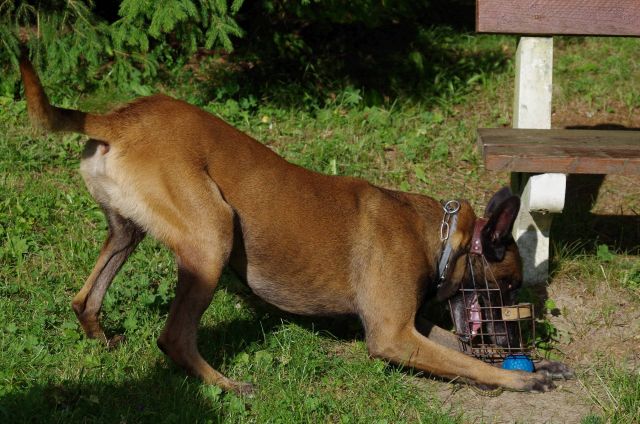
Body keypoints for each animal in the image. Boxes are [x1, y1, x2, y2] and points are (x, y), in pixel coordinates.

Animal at [19, 57, 571, 394]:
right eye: (510, 285)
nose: (516, 342)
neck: (435, 234)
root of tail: (117, 119)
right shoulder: (393, 335)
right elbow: (468, 361)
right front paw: (520, 379)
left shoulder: (413, 327)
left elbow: (465, 350)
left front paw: (532, 363)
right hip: (214, 234)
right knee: (173, 337)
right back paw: (226, 385)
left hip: (127, 233)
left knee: (85, 299)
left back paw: (103, 340)